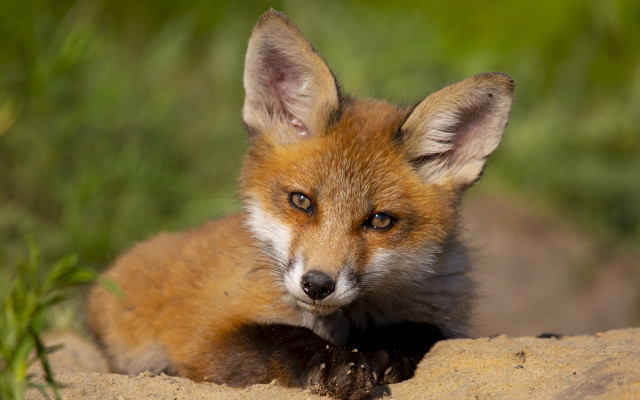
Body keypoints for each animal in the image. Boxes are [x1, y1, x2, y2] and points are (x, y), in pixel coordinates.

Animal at [87, 9, 513, 400]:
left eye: (380, 220)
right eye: (302, 201)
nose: (317, 285)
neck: (339, 324)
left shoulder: (442, 315)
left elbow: (413, 331)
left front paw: (380, 351)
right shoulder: (206, 337)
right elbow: (279, 337)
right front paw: (333, 363)